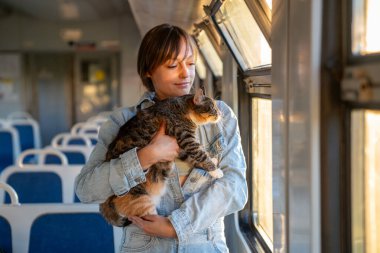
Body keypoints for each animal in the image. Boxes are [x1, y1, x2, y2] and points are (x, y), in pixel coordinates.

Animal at [99, 89, 224, 227]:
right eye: (213, 107)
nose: (221, 113)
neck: (182, 110)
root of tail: (106, 201)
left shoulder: (179, 149)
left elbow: (194, 159)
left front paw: (212, 163)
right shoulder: (186, 140)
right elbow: (200, 155)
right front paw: (216, 170)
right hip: (141, 200)